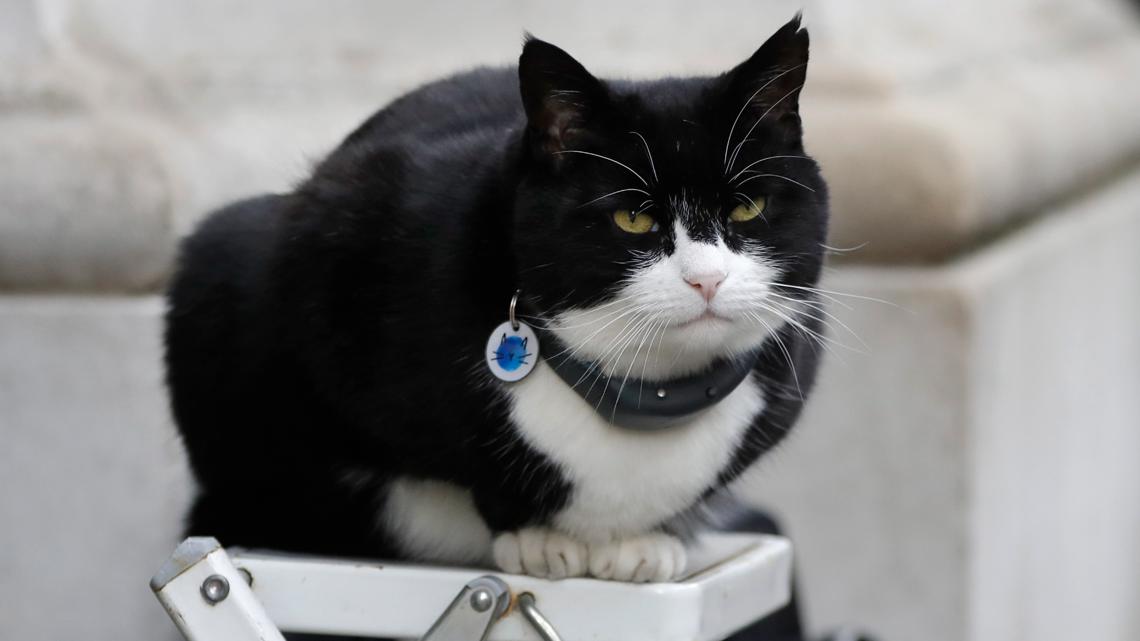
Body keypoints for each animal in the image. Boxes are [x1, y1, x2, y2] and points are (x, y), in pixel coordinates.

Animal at [165, 16, 829, 583]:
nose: (707, 280)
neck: (645, 389)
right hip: (221, 252)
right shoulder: (330, 252)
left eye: (747, 206)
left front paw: (647, 540)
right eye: (632, 218)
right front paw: (536, 537)